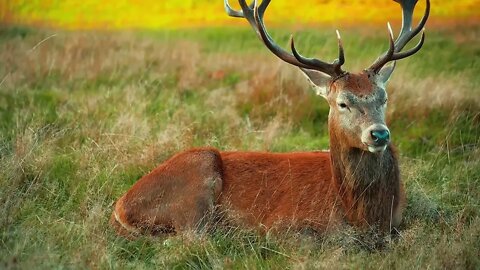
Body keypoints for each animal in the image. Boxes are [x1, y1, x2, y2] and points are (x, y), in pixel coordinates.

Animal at [110, 0, 430, 236]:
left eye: (384, 98)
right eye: (342, 103)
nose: (379, 134)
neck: (361, 213)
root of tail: (120, 207)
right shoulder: (282, 225)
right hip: (197, 180)